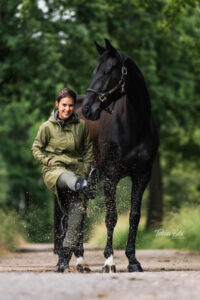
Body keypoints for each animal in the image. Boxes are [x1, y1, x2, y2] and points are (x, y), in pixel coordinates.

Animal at [80, 39, 159, 272]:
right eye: (94, 70)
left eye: (107, 71)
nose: (88, 109)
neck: (134, 126)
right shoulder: (110, 176)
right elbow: (111, 217)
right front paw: (109, 261)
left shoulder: (142, 176)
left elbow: (134, 217)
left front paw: (133, 260)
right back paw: (75, 260)